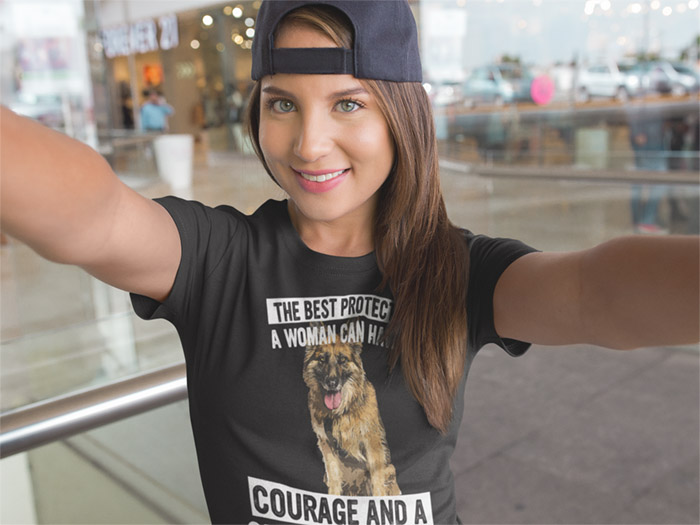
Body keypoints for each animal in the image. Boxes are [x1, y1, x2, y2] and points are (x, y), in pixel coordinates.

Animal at [303, 339, 401, 496]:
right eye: (322, 359)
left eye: (343, 360)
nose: (332, 383)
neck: (341, 412)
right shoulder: (326, 444)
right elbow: (334, 476)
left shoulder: (371, 442)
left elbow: (376, 479)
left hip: (390, 470)